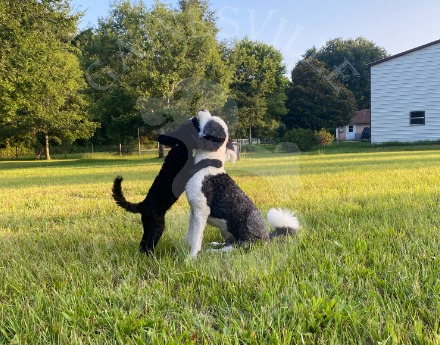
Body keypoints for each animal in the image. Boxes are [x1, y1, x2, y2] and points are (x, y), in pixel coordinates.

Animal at [111, 115, 225, 253]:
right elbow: (203, 162)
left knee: (143, 245)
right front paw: (216, 162)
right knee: (147, 245)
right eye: (195, 124)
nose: (195, 116)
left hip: (149, 225)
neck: (181, 146)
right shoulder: (189, 170)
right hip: (157, 226)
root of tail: (142, 205)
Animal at [186, 109, 300, 256]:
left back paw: (214, 251)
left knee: (233, 248)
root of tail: (267, 239)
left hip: (245, 240)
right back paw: (216, 244)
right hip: (226, 231)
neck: (207, 162)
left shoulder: (201, 211)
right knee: (229, 242)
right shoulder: (193, 210)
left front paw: (192, 256)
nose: (203, 109)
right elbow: (190, 235)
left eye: (211, 122)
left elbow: (196, 238)